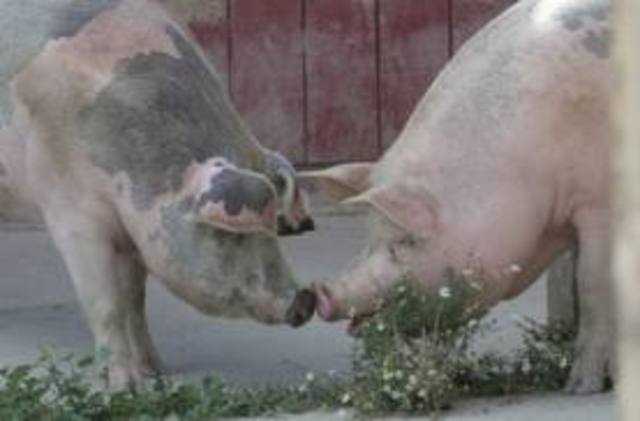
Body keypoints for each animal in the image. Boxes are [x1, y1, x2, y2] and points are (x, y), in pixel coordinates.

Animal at [0, 0, 316, 388]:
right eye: (231, 235)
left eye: (273, 230)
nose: (305, 299)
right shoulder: (71, 213)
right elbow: (106, 305)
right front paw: (126, 387)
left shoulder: (136, 229)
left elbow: (135, 300)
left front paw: (158, 371)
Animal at [300, 0, 612, 394]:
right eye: (369, 236)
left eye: (404, 242)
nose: (321, 292)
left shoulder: (600, 202)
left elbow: (592, 285)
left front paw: (580, 388)